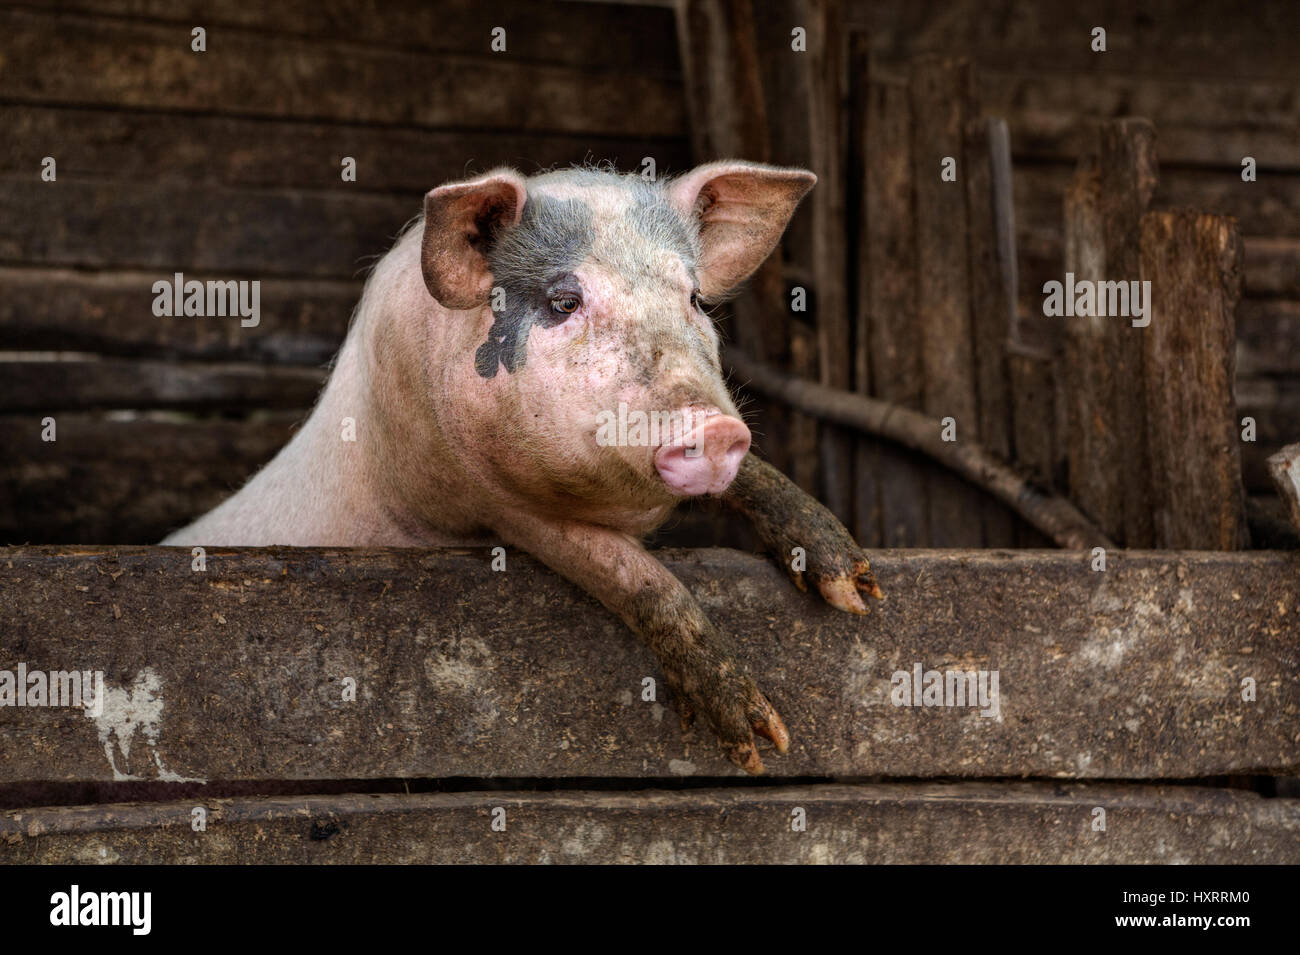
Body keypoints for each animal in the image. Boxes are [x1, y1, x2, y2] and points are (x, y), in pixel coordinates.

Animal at [159, 160, 873, 774]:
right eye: (563, 302)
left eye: (694, 298)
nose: (716, 428)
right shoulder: (493, 506)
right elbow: (636, 577)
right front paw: (761, 743)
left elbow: (755, 478)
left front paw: (857, 593)